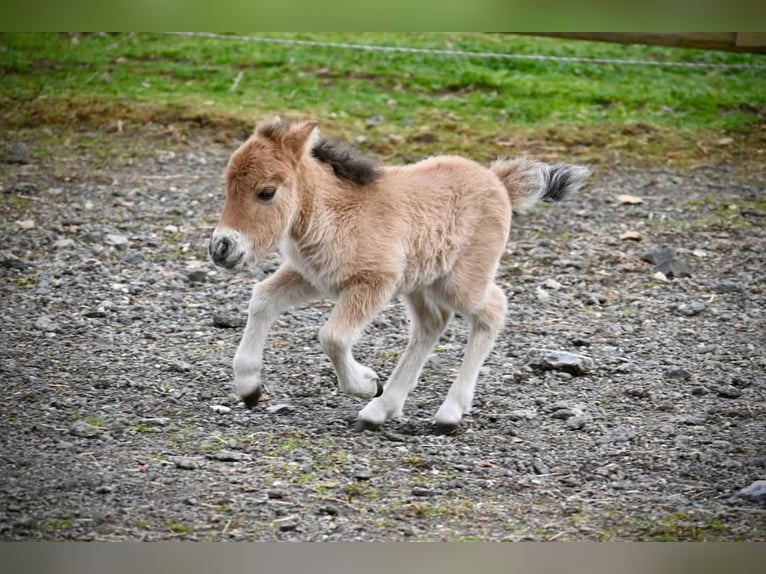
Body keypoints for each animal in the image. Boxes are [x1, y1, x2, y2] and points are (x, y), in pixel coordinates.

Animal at [207, 117, 592, 432]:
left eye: (266, 192)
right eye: (226, 186)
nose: (221, 249)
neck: (337, 212)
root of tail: (499, 182)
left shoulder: (374, 282)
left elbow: (333, 336)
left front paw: (366, 382)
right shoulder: (312, 277)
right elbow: (262, 299)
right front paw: (250, 388)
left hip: (461, 281)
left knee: (492, 309)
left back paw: (447, 414)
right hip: (420, 283)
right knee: (432, 324)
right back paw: (380, 410)